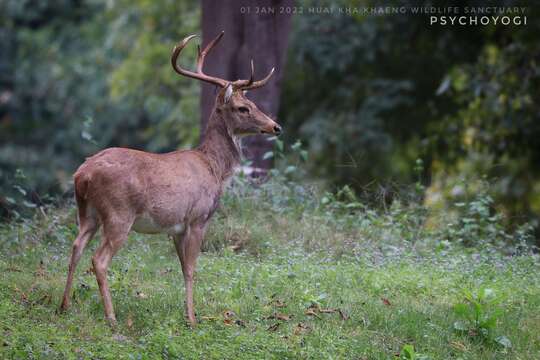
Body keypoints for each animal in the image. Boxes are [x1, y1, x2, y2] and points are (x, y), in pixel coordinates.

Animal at [59, 32, 282, 328]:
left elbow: (182, 267)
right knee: (99, 259)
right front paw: (193, 319)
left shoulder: (176, 227)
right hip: (118, 213)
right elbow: (191, 269)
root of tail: (81, 174)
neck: (214, 168)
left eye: (253, 104)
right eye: (242, 108)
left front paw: (186, 314)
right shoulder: (198, 218)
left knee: (75, 247)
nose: (275, 126)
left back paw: (64, 305)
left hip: (87, 213)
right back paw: (112, 317)